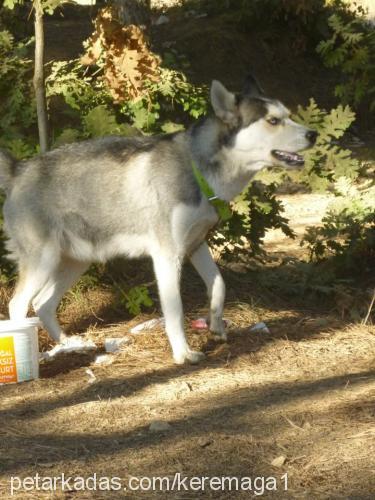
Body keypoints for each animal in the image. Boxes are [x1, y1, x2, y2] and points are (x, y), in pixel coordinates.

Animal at [0, 75, 318, 364]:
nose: (313, 134)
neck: (196, 167)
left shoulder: (196, 246)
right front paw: (183, 353)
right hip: (43, 261)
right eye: (273, 121)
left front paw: (216, 326)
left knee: (43, 304)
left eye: (287, 115)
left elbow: (218, 285)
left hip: (74, 261)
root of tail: (19, 169)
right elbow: (175, 312)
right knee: (19, 305)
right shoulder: (168, 257)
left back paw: (68, 345)